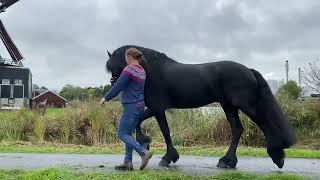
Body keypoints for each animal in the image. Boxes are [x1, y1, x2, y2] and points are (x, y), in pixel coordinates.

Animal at [106, 45, 296, 169]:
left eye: (114, 66)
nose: (114, 83)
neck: (151, 70)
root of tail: (249, 70)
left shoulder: (158, 108)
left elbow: (165, 131)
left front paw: (167, 157)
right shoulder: (154, 108)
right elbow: (139, 121)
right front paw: (145, 142)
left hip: (245, 106)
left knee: (263, 123)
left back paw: (277, 155)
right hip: (228, 106)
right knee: (237, 129)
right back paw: (227, 161)